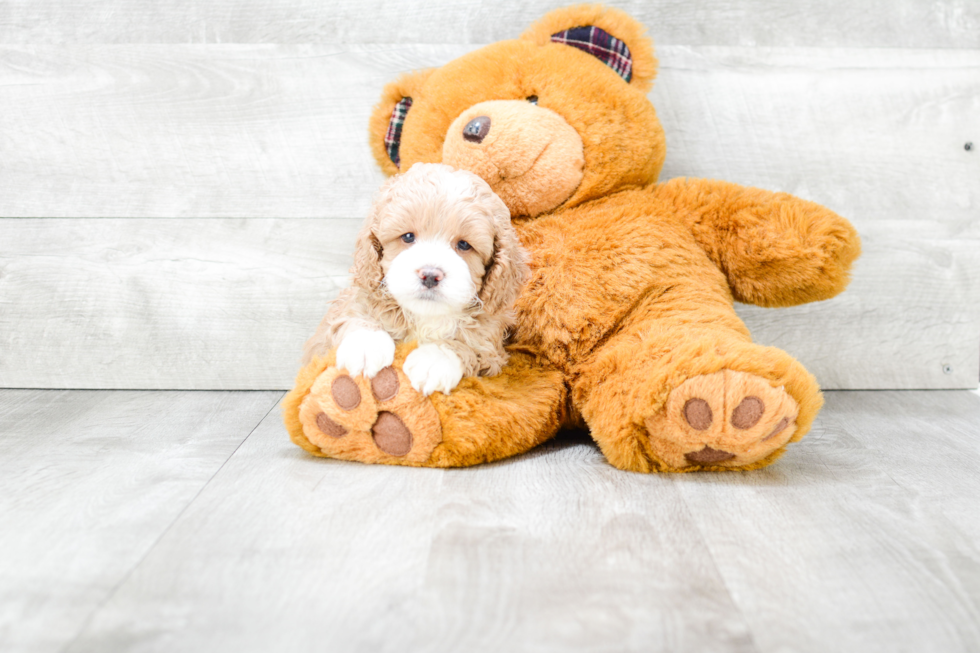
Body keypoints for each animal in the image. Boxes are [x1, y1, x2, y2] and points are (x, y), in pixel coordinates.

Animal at [304, 163, 528, 398]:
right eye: (408, 237)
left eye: (464, 245)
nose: (430, 275)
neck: (424, 315)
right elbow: (356, 313)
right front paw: (366, 344)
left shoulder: (491, 351)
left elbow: (468, 345)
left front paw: (435, 360)